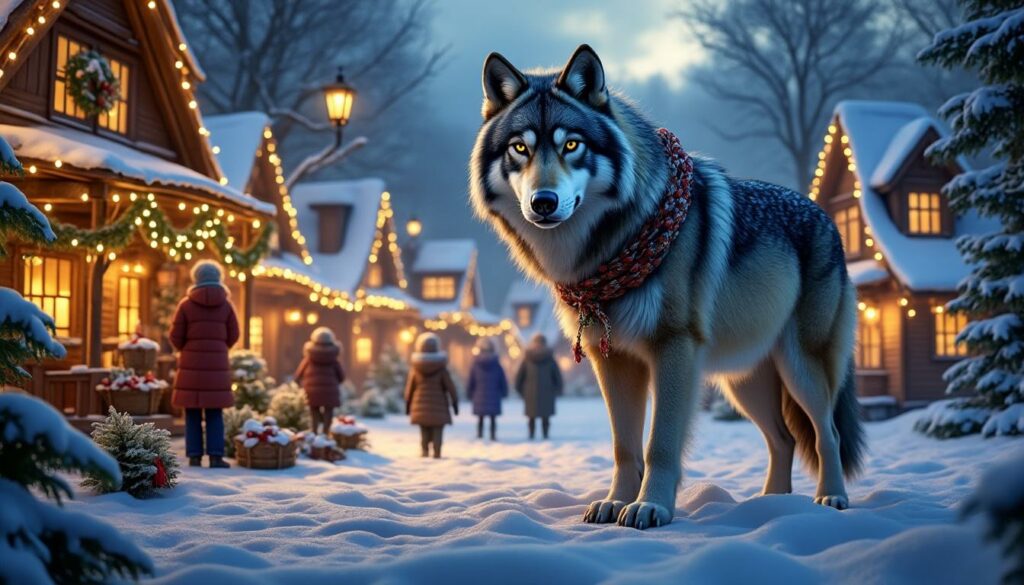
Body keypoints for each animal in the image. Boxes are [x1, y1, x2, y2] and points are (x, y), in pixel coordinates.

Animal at [469, 45, 865, 530]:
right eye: (520, 148)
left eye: (571, 145)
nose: (543, 202)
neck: (611, 247)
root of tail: (826, 218)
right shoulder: (612, 358)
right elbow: (624, 446)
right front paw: (614, 503)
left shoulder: (674, 349)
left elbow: (659, 442)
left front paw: (650, 506)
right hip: (743, 382)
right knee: (784, 438)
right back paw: (771, 505)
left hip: (800, 367)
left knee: (827, 432)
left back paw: (831, 499)